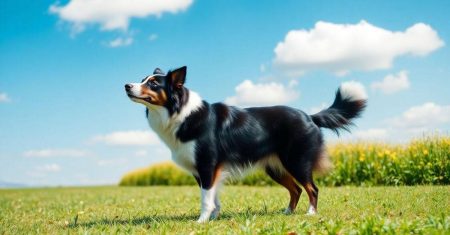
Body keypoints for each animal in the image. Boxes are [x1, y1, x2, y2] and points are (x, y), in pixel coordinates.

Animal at [125, 66, 368, 222]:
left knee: (312, 188)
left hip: (297, 161)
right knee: (297, 189)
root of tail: (309, 116)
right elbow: (213, 195)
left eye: (153, 83)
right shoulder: (205, 170)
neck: (180, 112)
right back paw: (287, 213)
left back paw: (311, 213)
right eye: (142, 79)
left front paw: (201, 221)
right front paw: (214, 217)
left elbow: (206, 198)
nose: (126, 85)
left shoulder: (207, 165)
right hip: (275, 167)